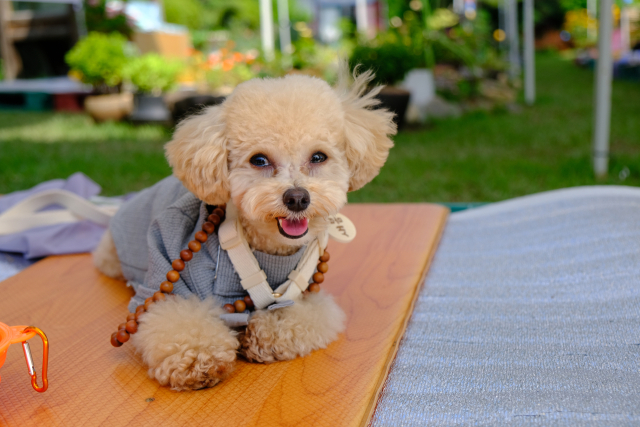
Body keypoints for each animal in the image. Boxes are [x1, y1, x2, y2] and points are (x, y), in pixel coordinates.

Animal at [93, 68, 396, 392]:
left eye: (318, 157)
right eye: (259, 160)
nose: (297, 198)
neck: (266, 250)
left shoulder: (307, 298)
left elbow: (301, 316)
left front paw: (266, 334)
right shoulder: (159, 292)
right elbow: (176, 321)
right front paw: (199, 357)